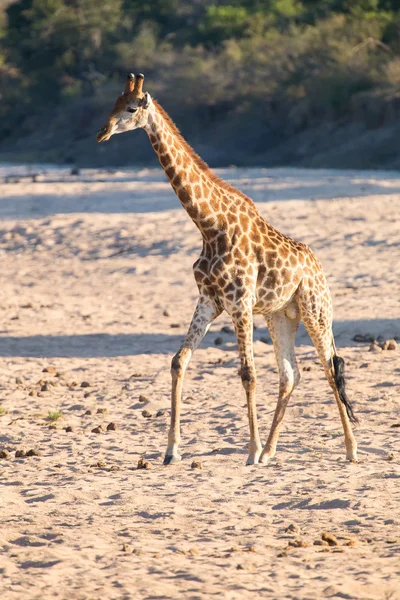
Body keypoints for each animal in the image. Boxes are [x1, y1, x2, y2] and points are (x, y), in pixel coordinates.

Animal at [97, 74, 360, 464]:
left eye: (130, 108)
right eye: (111, 104)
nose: (102, 132)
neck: (209, 225)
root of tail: (318, 268)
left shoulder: (240, 302)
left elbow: (248, 373)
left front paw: (249, 451)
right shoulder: (209, 300)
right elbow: (178, 361)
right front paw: (171, 450)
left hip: (317, 311)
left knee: (330, 369)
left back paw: (349, 449)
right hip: (282, 316)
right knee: (291, 374)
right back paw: (271, 451)